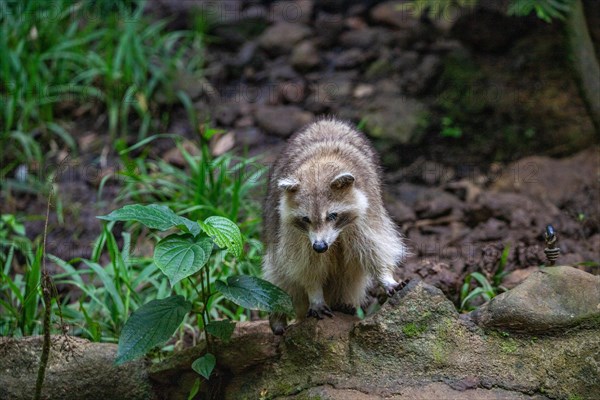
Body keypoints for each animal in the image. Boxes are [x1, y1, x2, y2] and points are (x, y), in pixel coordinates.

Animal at [262, 118, 406, 334]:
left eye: (332, 215)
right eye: (306, 219)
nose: (320, 246)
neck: (319, 163)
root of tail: (327, 120)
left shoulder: (368, 210)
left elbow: (374, 245)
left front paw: (385, 276)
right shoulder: (294, 233)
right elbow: (304, 264)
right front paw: (314, 292)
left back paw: (343, 304)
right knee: (278, 273)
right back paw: (278, 316)